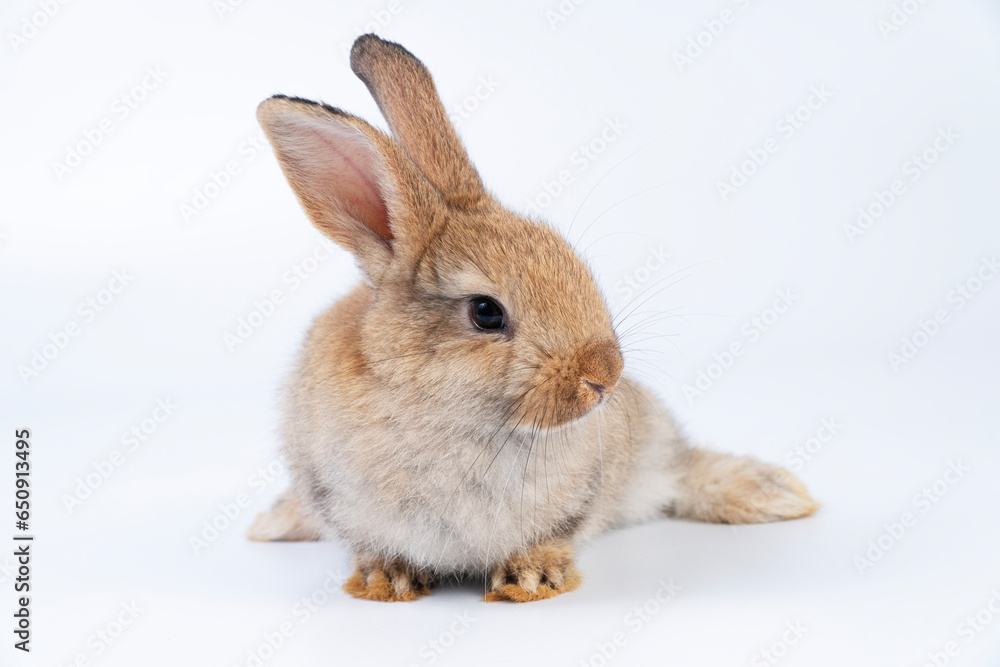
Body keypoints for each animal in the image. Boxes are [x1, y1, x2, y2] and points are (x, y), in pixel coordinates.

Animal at [246, 34, 816, 604]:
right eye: (486, 313)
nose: (604, 376)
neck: (455, 415)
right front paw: (385, 580)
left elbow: (552, 538)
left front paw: (529, 580)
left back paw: (780, 494)